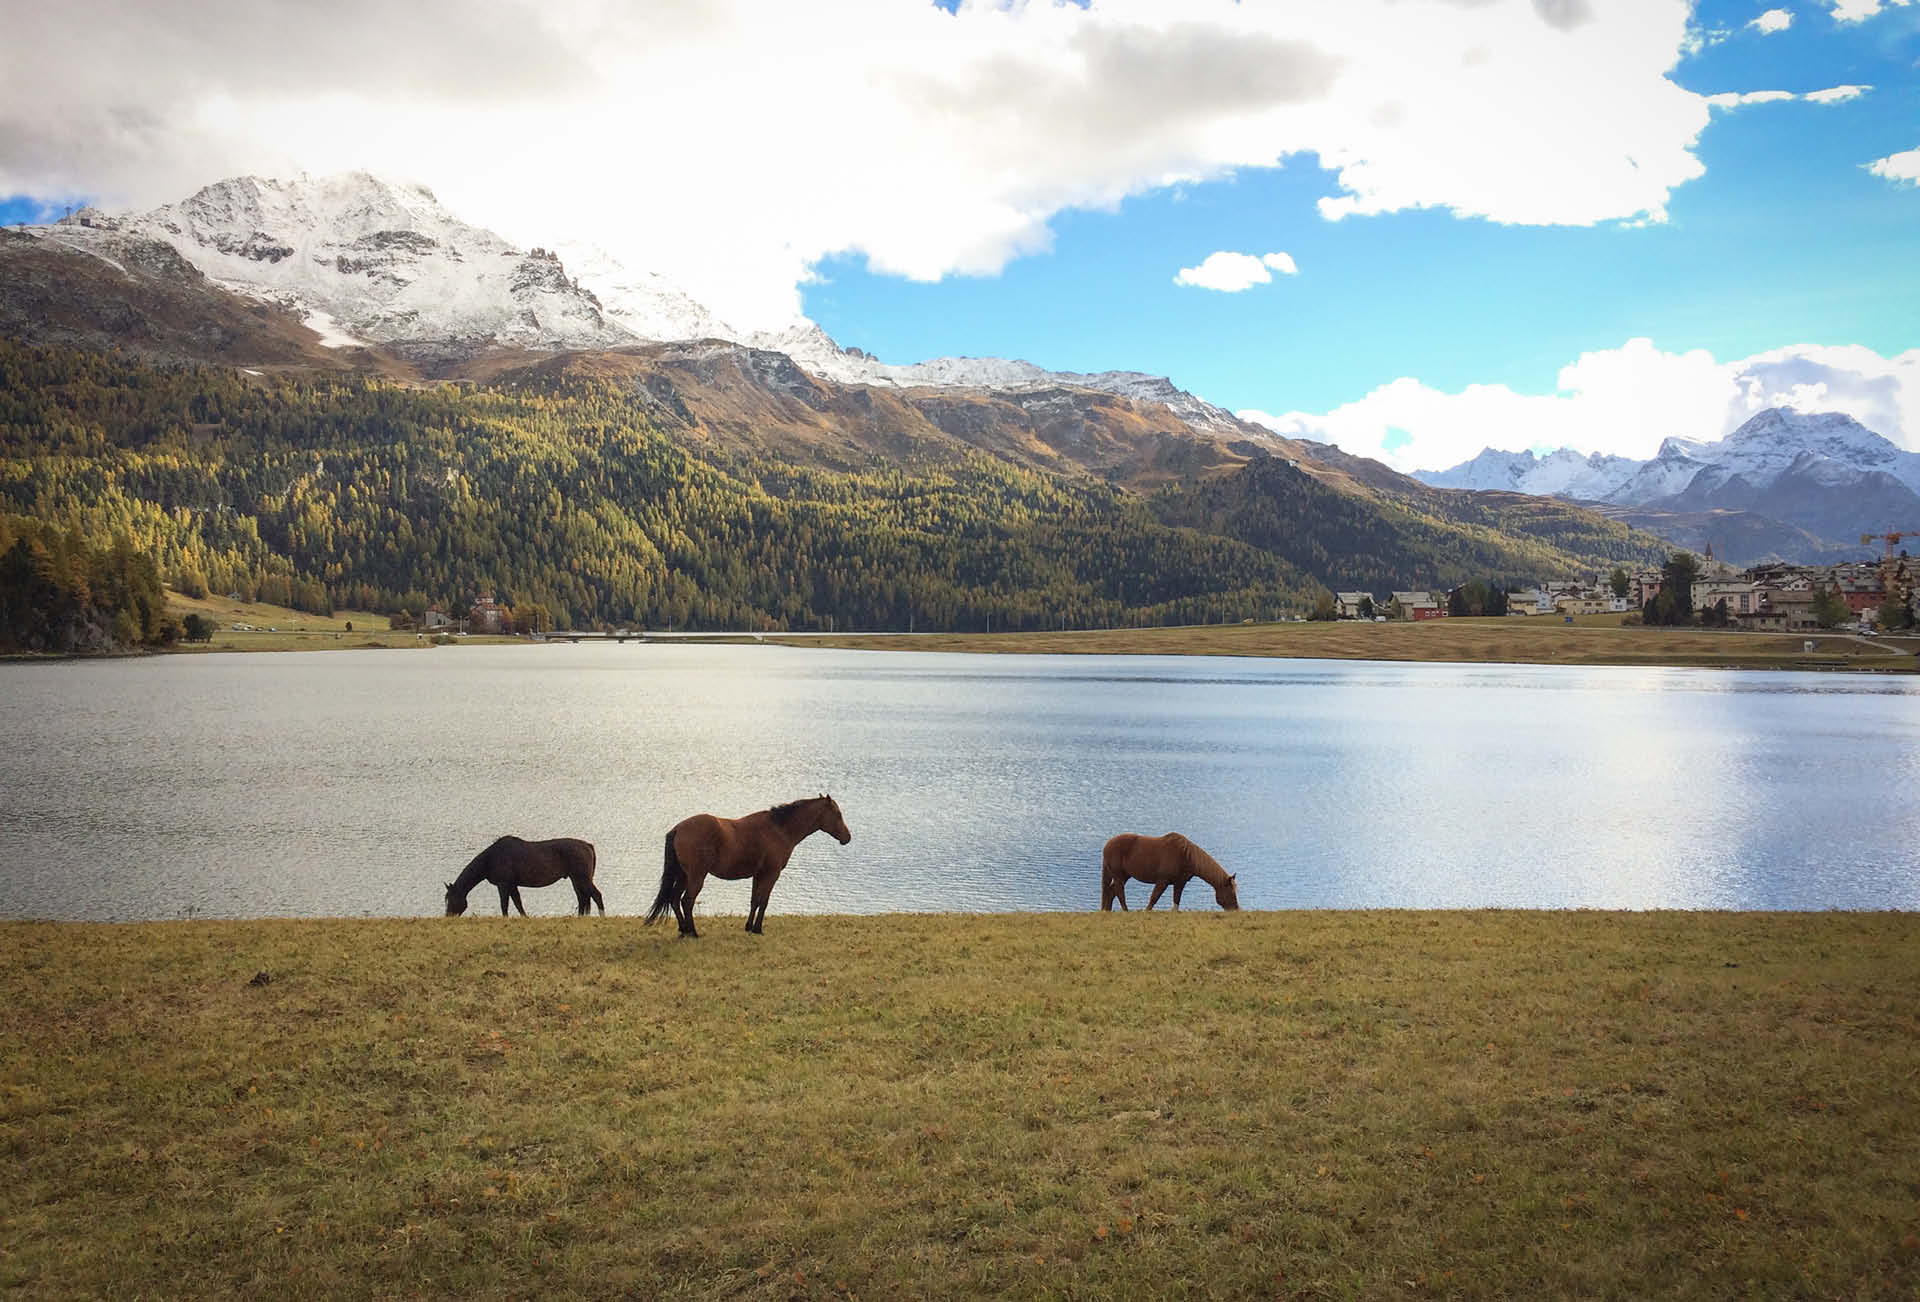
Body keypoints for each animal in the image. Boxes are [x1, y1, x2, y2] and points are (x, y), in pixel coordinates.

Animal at [445, 837, 602, 917]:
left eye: (450, 899)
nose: (448, 916)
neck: (491, 858)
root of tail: (587, 845)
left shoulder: (503, 885)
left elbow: (505, 905)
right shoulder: (512, 885)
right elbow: (518, 903)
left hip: (582, 878)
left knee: (596, 895)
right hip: (576, 879)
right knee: (582, 898)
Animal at [648, 795, 852, 937]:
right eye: (838, 814)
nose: (847, 837)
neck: (779, 829)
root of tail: (678, 829)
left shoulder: (758, 874)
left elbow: (754, 901)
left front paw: (748, 927)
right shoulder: (771, 874)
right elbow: (764, 901)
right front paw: (758, 929)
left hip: (683, 875)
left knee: (675, 899)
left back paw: (683, 930)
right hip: (696, 876)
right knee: (686, 901)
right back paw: (693, 932)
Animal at [1105, 829, 1236, 914]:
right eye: (1231, 892)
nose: (1236, 910)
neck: (1185, 855)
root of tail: (1108, 845)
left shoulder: (1180, 883)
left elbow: (1176, 900)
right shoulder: (1163, 881)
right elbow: (1154, 897)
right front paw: (1146, 911)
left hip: (1124, 876)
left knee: (1111, 891)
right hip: (1119, 876)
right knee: (1119, 892)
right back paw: (1125, 910)